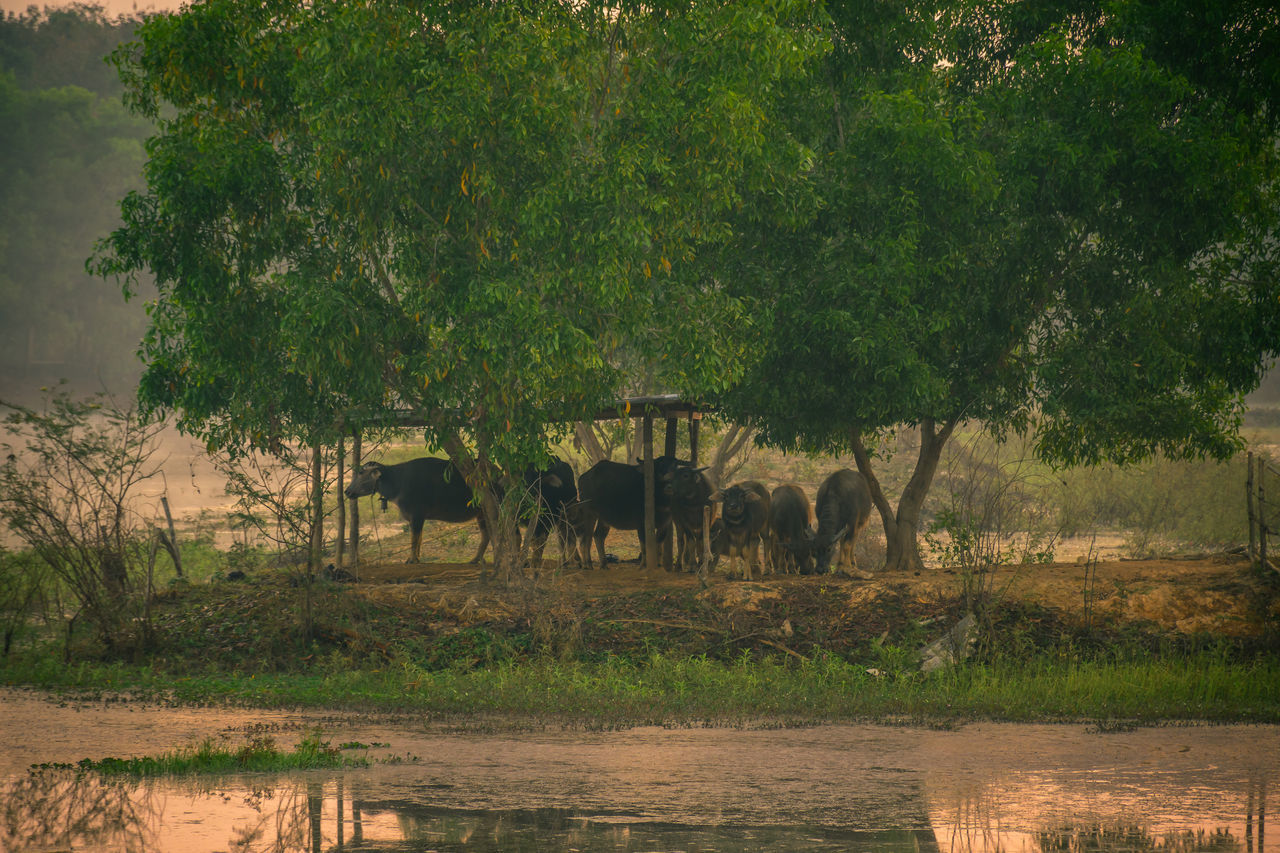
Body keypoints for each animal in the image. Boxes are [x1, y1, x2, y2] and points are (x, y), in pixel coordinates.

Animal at [345, 455, 488, 560]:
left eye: (361, 472)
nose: (347, 491)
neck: (398, 482)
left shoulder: (416, 516)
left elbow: (414, 539)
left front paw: (412, 560)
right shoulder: (417, 518)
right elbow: (419, 539)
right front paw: (416, 558)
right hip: (481, 514)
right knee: (487, 535)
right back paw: (475, 560)